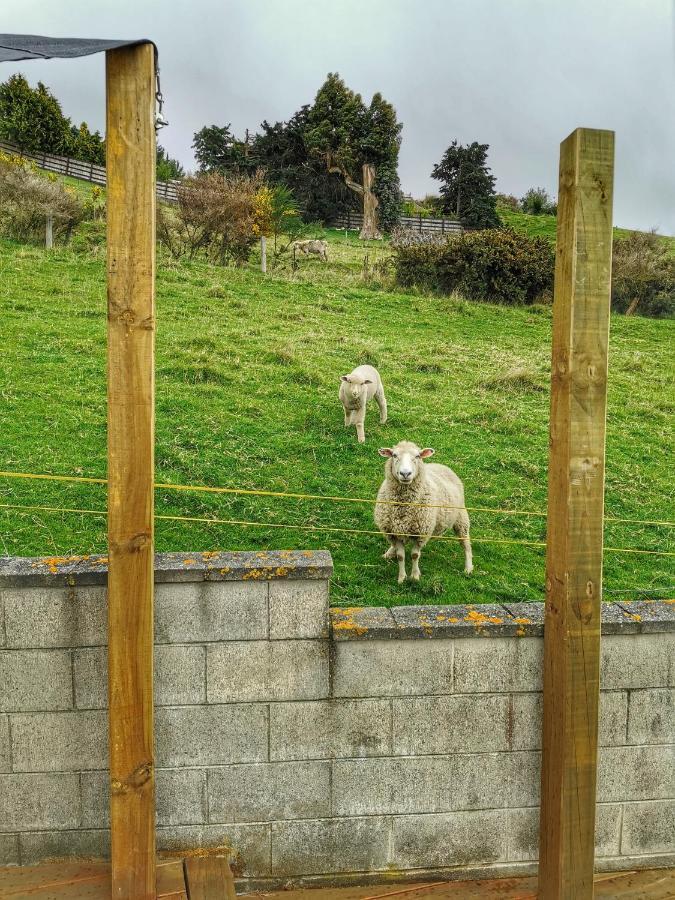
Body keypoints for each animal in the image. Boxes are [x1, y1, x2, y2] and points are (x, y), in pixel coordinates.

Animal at [374, 442, 476, 584]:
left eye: (417, 456)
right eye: (394, 455)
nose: (405, 473)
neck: (404, 505)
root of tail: (441, 465)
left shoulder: (421, 532)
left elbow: (415, 555)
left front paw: (415, 576)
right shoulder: (394, 533)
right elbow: (401, 556)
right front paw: (401, 578)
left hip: (461, 517)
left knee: (465, 542)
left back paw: (468, 568)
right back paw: (389, 553)